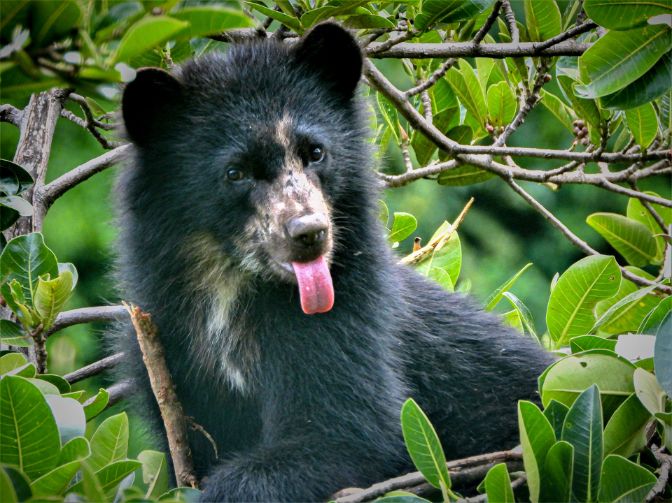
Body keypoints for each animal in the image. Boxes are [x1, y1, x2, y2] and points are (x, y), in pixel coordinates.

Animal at [115, 22, 552, 503]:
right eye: (236, 172)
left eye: (316, 152)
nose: (309, 234)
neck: (231, 285)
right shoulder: (164, 343)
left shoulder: (349, 318)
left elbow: (344, 436)